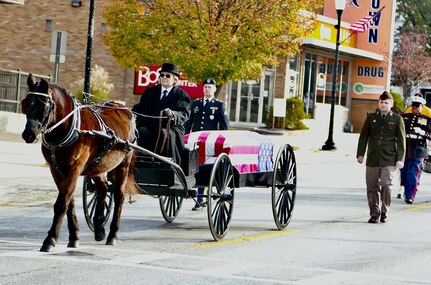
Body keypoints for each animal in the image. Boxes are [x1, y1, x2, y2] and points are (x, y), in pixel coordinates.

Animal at [21, 73, 137, 251]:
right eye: (26, 104)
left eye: (43, 106)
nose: (28, 134)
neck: (69, 127)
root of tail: (124, 109)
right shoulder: (56, 170)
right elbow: (69, 202)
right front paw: (74, 236)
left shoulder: (73, 169)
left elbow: (62, 203)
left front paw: (50, 239)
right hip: (97, 165)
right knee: (103, 188)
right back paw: (99, 227)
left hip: (123, 164)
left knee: (119, 195)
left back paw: (113, 234)